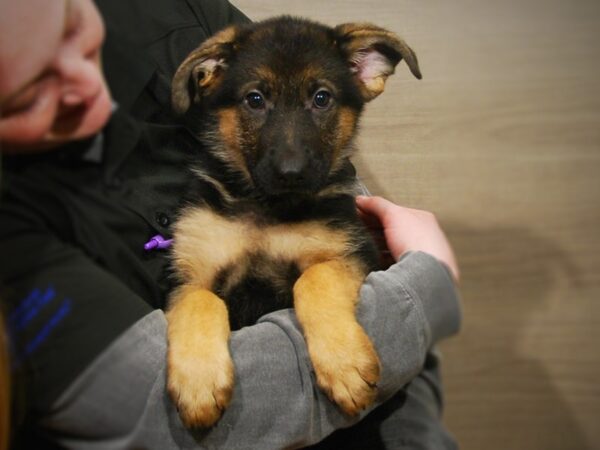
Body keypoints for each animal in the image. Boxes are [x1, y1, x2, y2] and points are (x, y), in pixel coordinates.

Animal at [165, 15, 422, 428]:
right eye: (255, 99)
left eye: (322, 98)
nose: (291, 173)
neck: (268, 208)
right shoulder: (188, 276)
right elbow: (200, 301)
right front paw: (198, 383)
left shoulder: (354, 255)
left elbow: (314, 279)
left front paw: (345, 365)